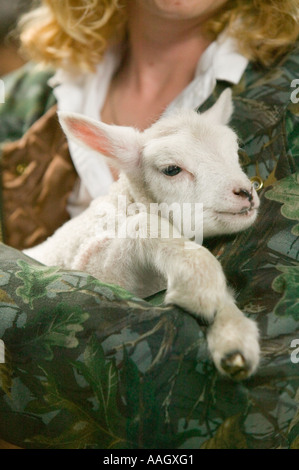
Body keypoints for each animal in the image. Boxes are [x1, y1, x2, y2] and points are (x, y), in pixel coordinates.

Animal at [24, 90, 262, 380]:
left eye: (235, 152)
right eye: (171, 169)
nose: (246, 193)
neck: (126, 203)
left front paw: (233, 337)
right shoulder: (92, 268)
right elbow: (144, 225)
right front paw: (199, 282)